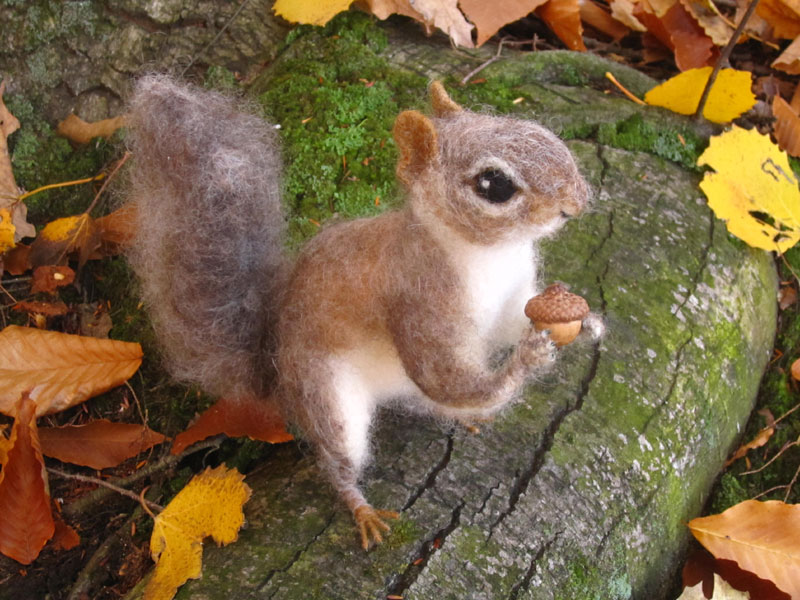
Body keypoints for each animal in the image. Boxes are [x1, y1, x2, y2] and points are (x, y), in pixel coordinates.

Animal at [126, 77, 600, 552]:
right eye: (494, 184)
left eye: (538, 131)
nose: (577, 203)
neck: (493, 255)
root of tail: (277, 374)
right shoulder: (418, 299)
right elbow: (442, 374)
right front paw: (524, 362)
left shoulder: (513, 297)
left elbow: (515, 323)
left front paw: (586, 321)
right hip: (326, 393)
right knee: (340, 455)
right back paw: (362, 509)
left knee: (417, 401)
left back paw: (458, 416)